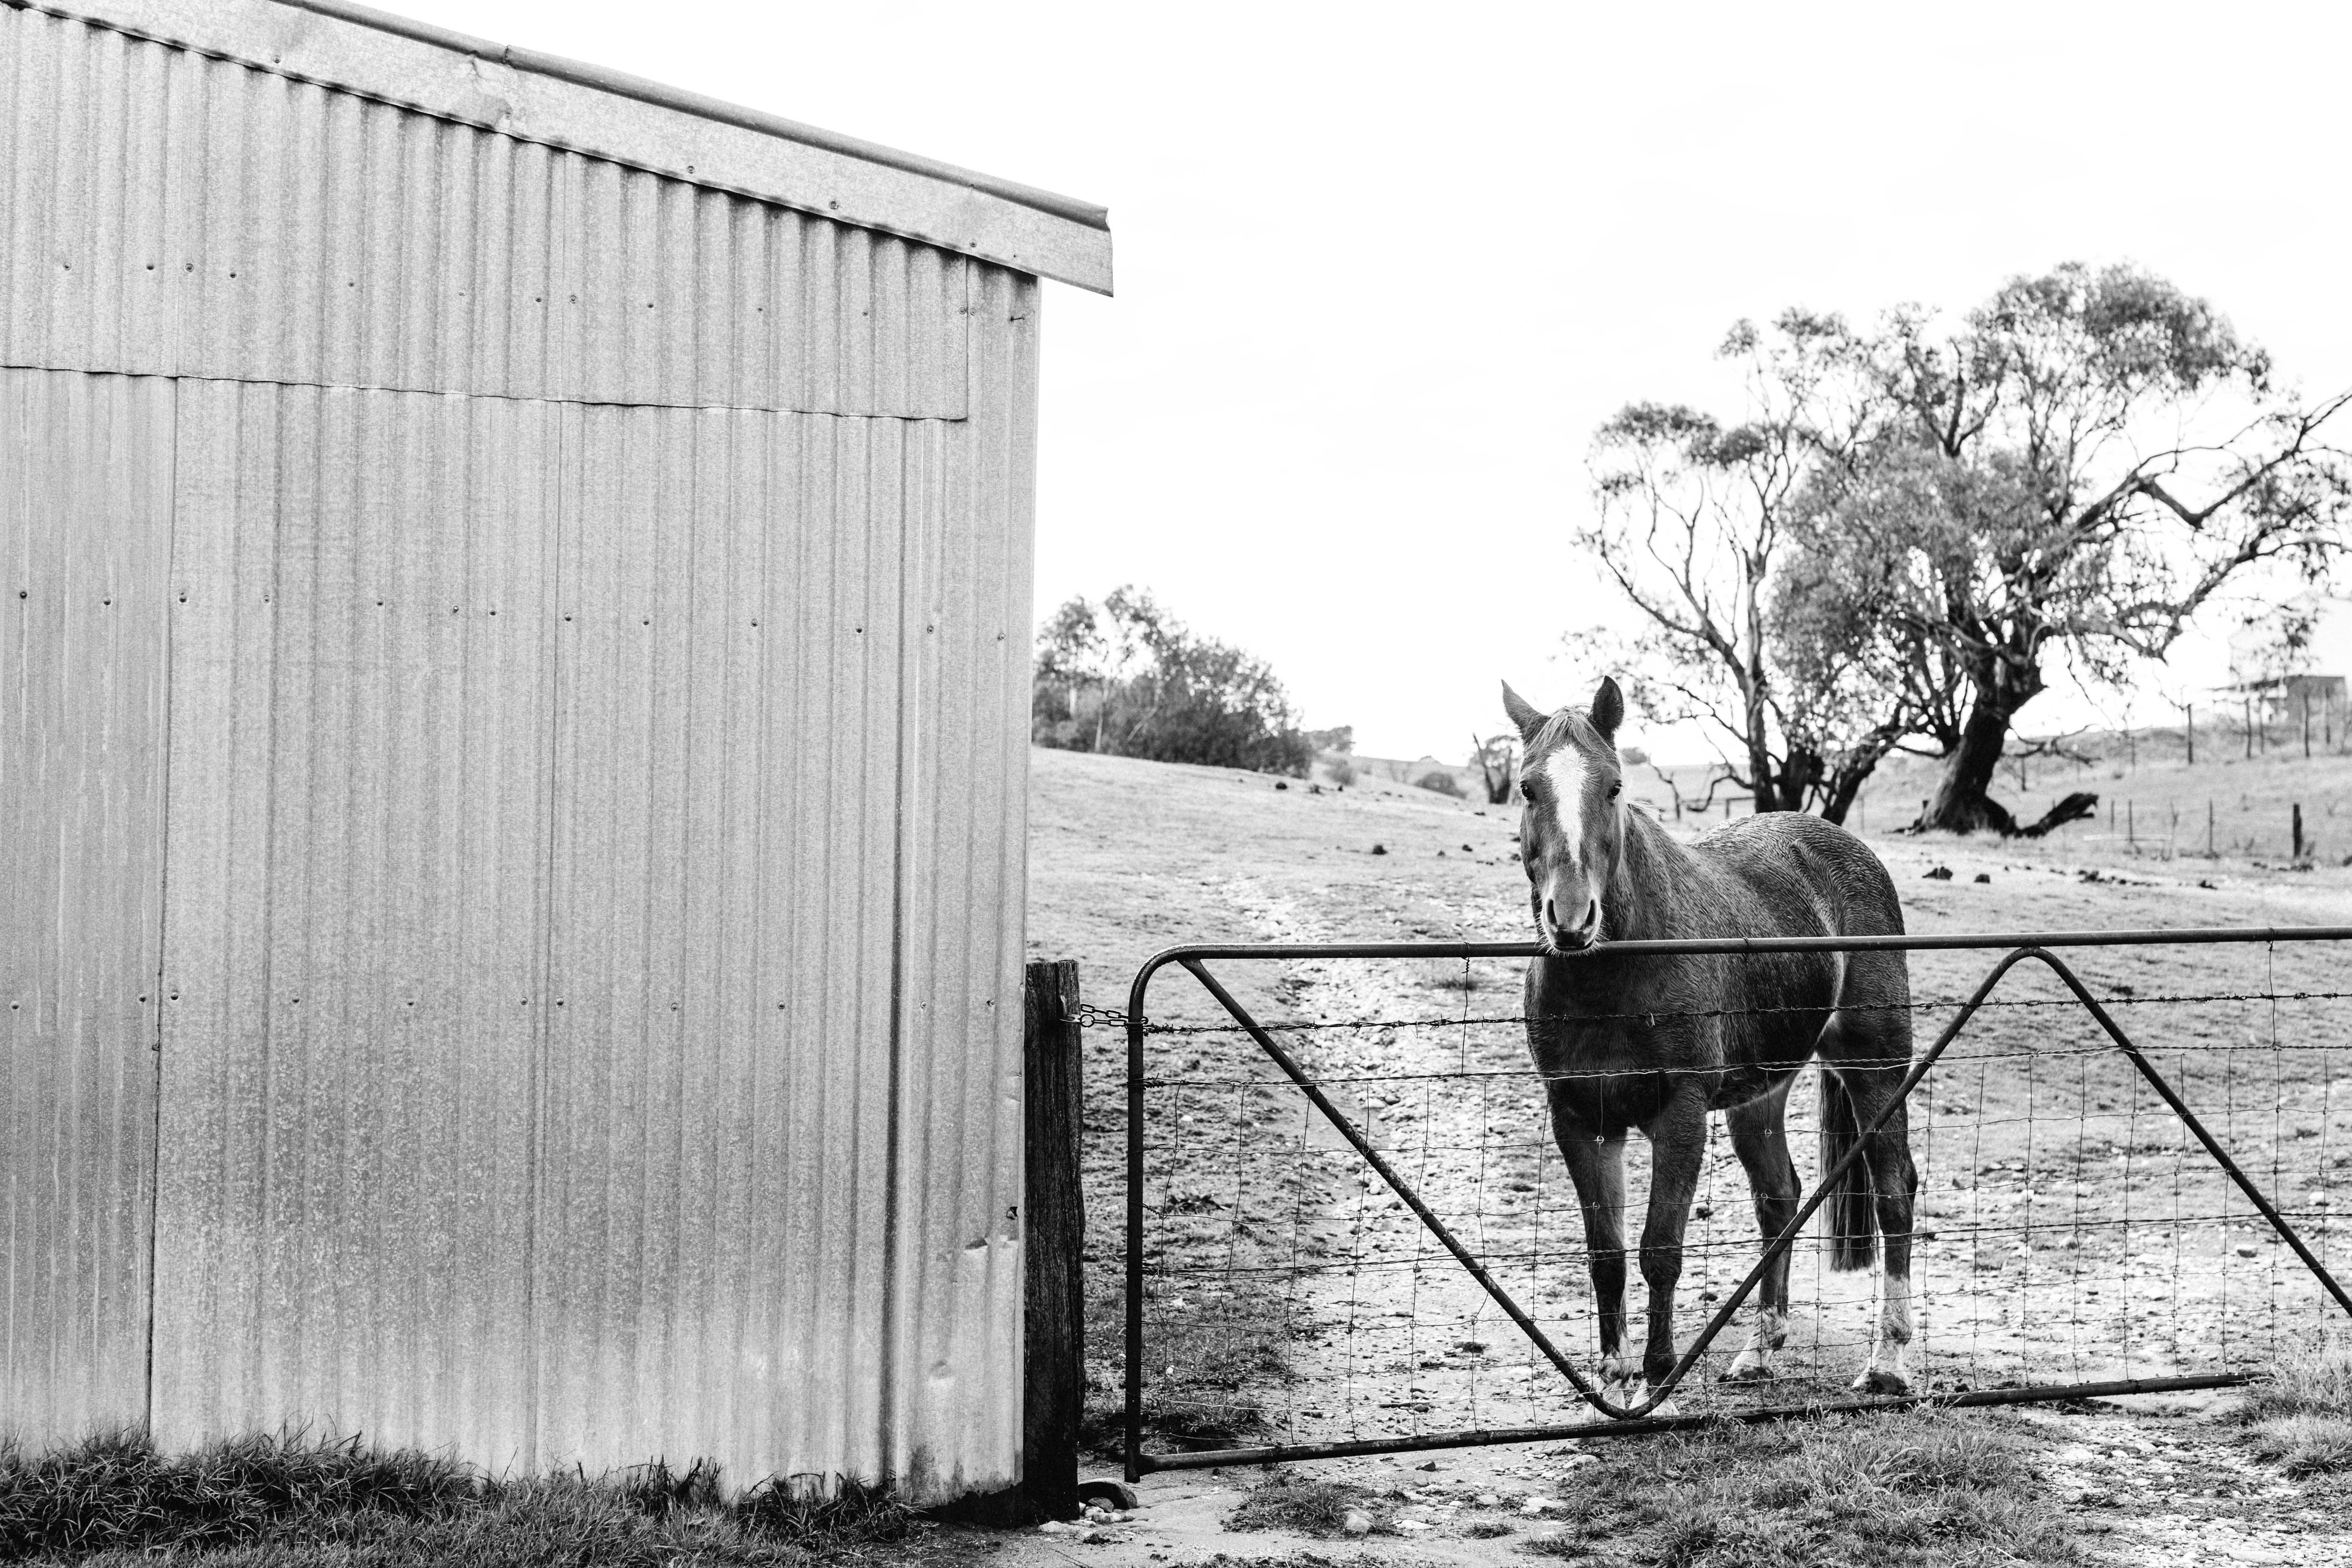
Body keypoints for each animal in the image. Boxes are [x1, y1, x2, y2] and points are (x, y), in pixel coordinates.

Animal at [1503, 676, 1919, 1402]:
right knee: (1779, 1199)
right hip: (1762, 1095)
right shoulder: (1580, 1118)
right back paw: (1759, 1350)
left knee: (1894, 1191)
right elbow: (1606, 1253)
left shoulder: (1681, 1113)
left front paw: (1656, 1376)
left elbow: (1659, 1249)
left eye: (1614, 786)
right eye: (1528, 786)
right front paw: (1613, 1380)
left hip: (1876, 1068)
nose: (1572, 918)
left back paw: (1886, 1362)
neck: (1613, 972)